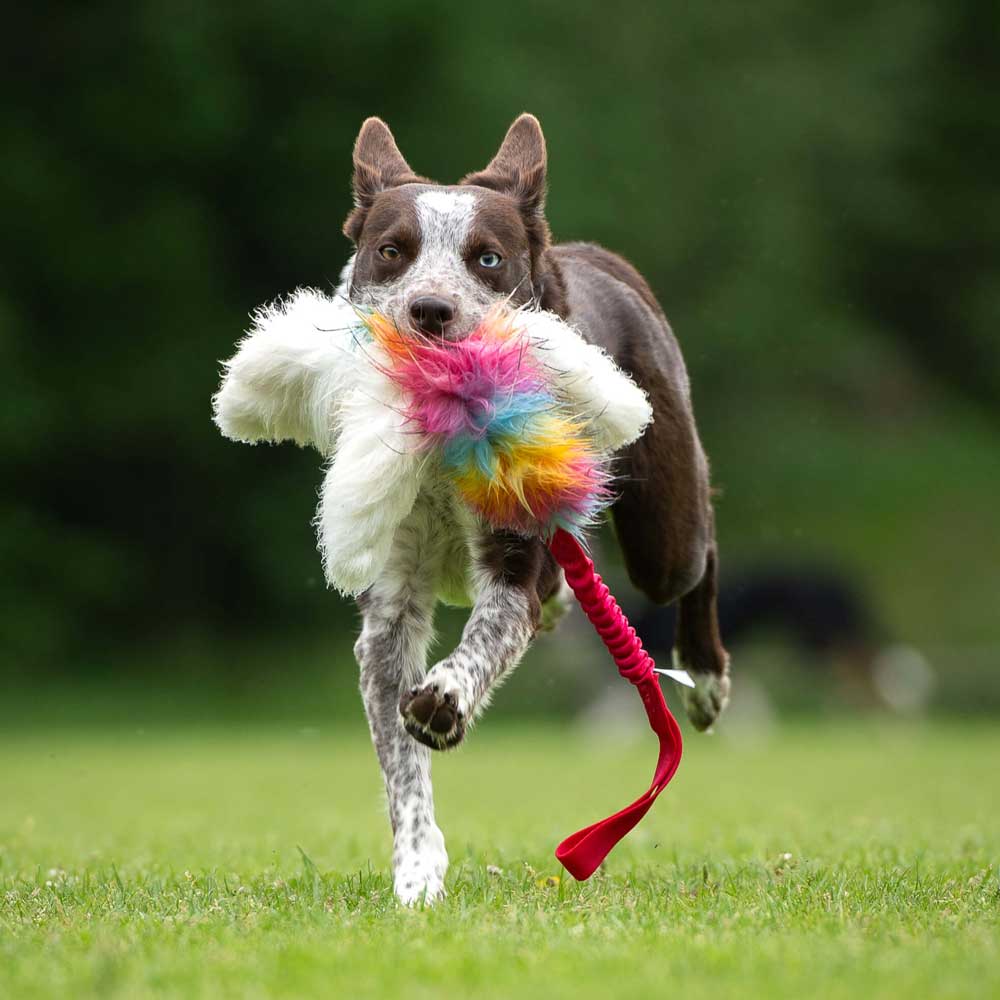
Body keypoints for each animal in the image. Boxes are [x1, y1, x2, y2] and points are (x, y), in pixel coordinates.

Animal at [219, 113, 728, 904]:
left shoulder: (512, 554)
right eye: (391, 252)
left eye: (486, 258)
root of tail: (594, 257)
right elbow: (401, 765)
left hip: (662, 520)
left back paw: (704, 679)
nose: (431, 309)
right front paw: (417, 872)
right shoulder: (390, 600)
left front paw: (445, 701)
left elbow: (488, 633)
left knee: (697, 556)